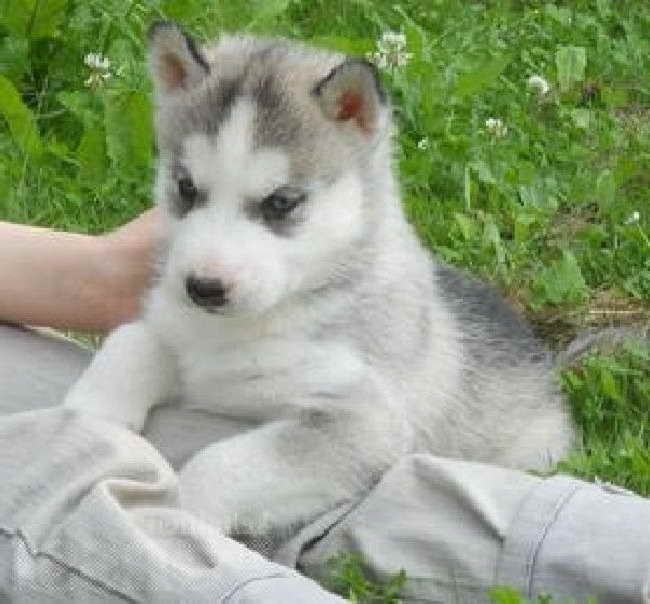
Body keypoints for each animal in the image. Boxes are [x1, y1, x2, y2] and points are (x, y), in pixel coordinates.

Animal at [64, 22, 572, 532]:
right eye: (186, 187)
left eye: (281, 202)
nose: (203, 288)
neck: (250, 324)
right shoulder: (177, 329)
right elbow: (132, 339)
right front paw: (88, 423)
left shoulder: (362, 421)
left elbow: (219, 462)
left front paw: (173, 515)